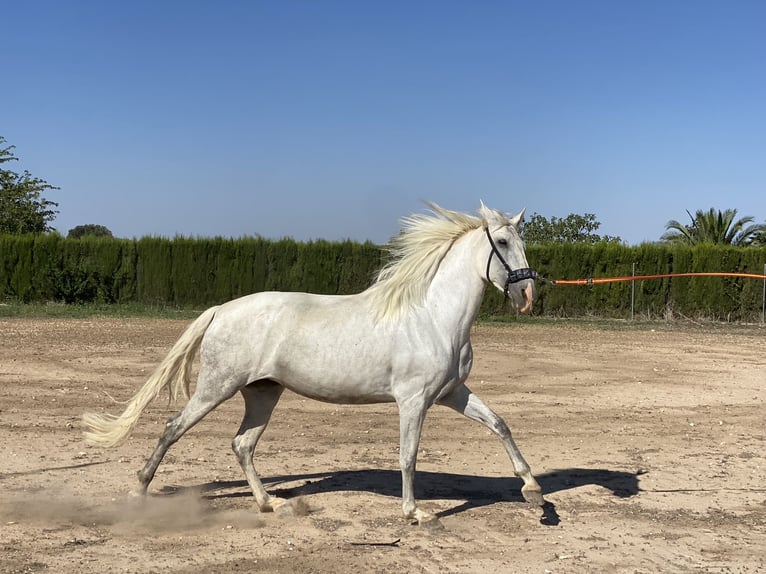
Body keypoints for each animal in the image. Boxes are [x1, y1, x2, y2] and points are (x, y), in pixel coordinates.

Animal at [82, 202, 544, 528]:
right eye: (503, 244)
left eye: (522, 242)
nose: (527, 297)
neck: (432, 317)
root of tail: (220, 310)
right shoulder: (413, 401)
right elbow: (408, 455)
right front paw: (415, 514)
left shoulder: (451, 394)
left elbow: (500, 424)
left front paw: (534, 492)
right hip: (216, 387)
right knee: (172, 428)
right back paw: (139, 492)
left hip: (263, 392)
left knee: (242, 444)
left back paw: (269, 503)